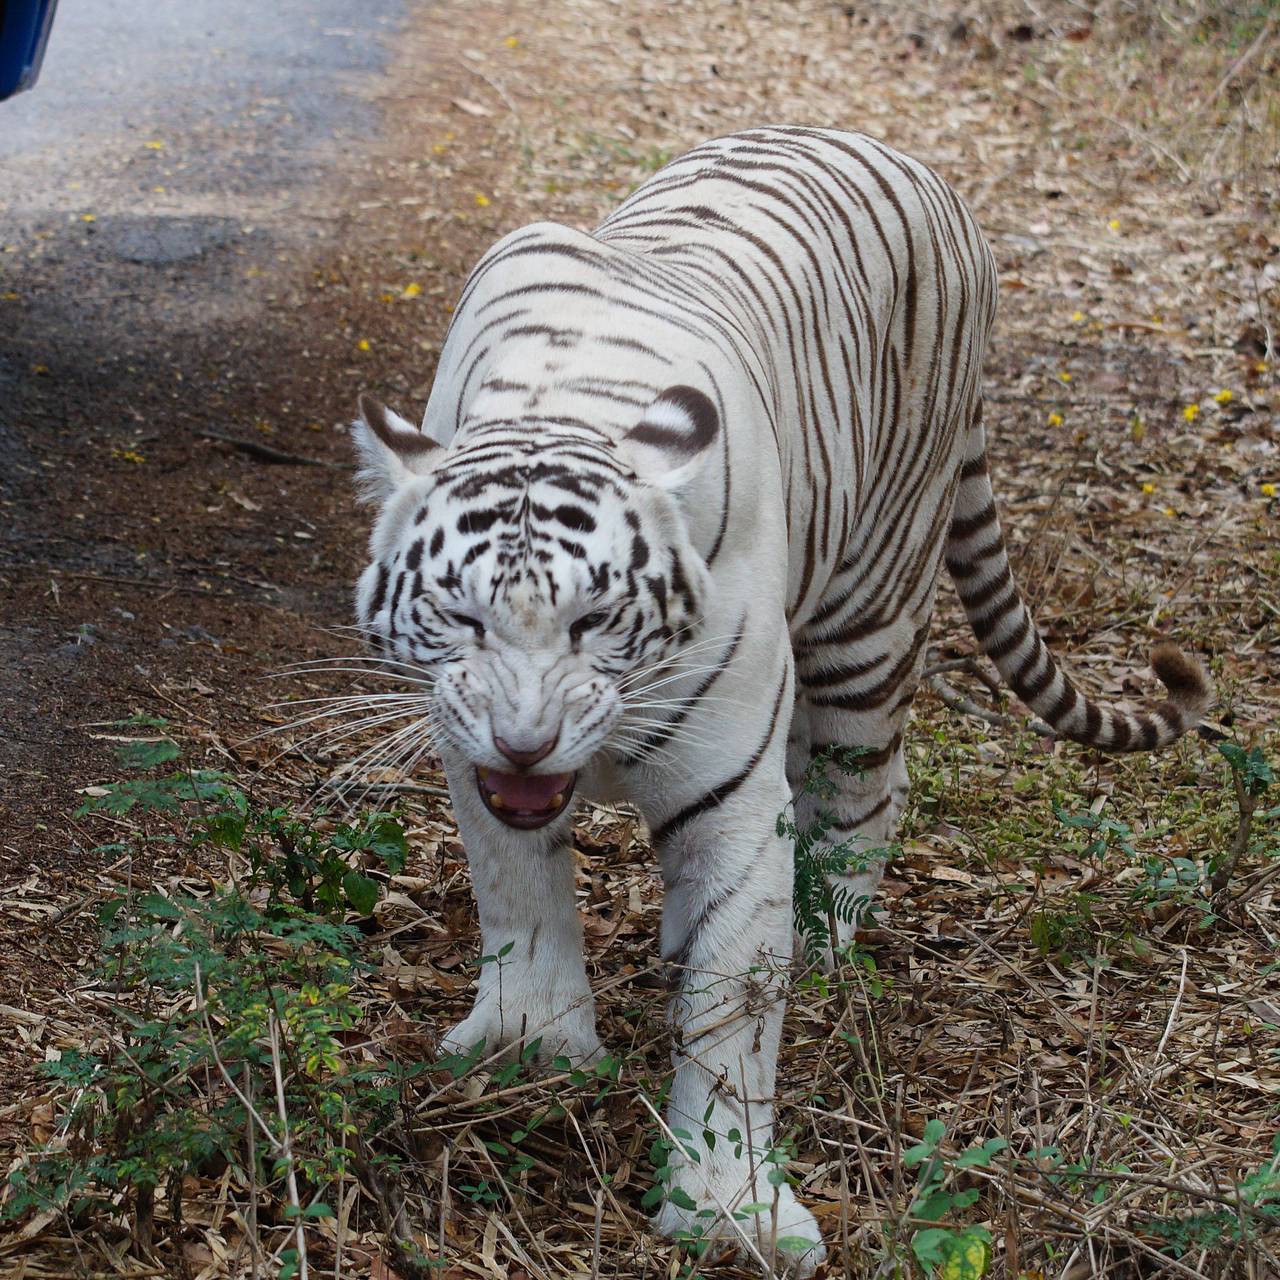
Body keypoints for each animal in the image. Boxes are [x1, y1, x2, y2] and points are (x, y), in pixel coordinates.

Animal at [350, 127, 1208, 1269]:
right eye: (460, 614)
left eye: (596, 618)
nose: (527, 741)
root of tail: (903, 157)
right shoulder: (468, 753)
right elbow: (517, 891)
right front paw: (528, 1044)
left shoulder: (730, 790)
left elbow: (733, 1011)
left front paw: (727, 1210)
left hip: (873, 607)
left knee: (867, 785)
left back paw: (825, 932)